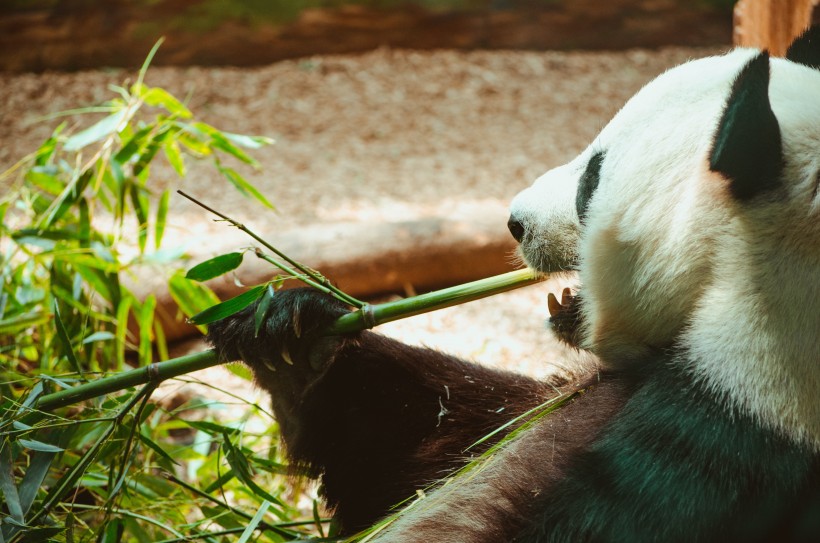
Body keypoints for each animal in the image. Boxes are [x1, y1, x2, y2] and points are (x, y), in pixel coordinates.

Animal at [207, 27, 820, 543]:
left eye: (592, 179)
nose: (515, 222)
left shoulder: (730, 438)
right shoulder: (585, 390)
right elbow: (440, 435)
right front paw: (294, 338)